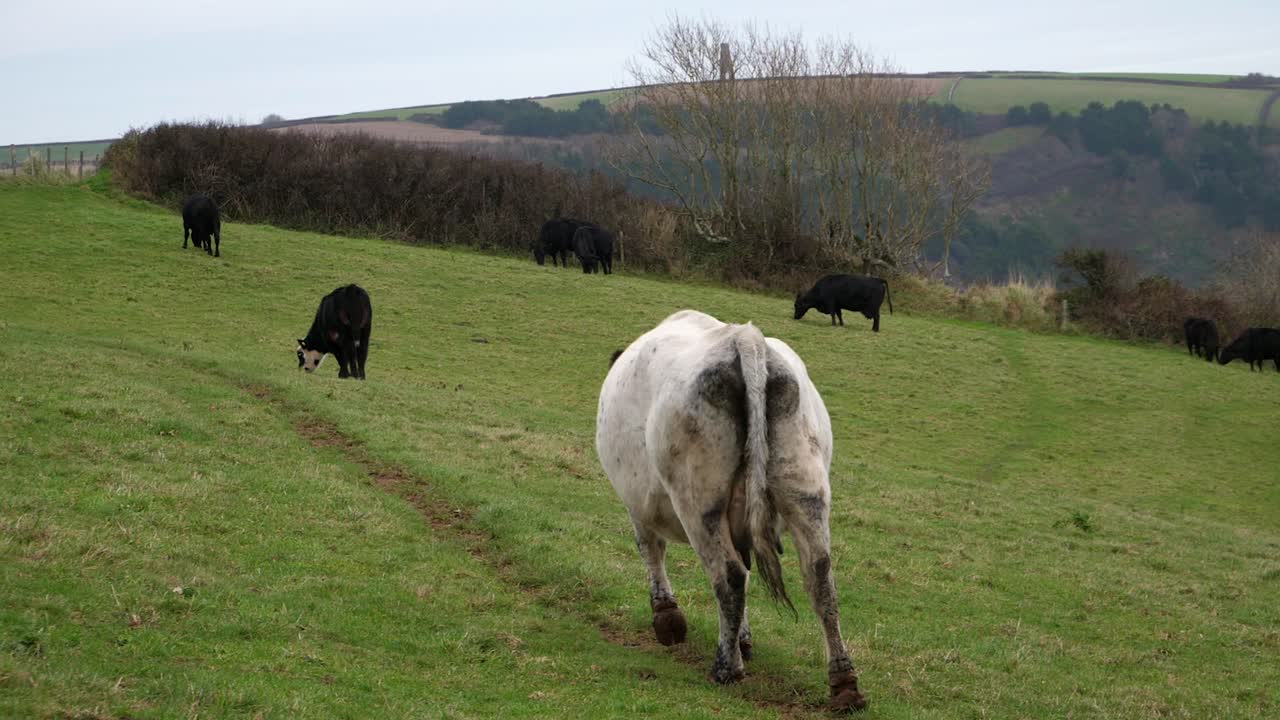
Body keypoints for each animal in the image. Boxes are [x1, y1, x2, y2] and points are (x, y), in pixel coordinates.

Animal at [596, 310, 867, 712]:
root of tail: (743, 339)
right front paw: (742, 637)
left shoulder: (637, 504)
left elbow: (651, 550)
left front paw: (668, 617)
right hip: (806, 491)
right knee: (820, 580)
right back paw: (844, 683)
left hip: (698, 500)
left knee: (730, 575)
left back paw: (726, 668)